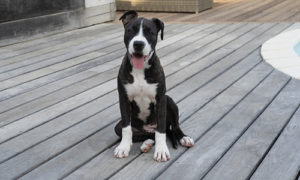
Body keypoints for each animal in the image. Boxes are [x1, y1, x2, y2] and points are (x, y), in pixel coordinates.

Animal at [113, 10, 195, 162]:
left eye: (150, 32)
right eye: (130, 30)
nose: (138, 44)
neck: (140, 69)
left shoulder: (161, 99)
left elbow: (161, 129)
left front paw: (161, 150)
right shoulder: (124, 99)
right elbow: (126, 128)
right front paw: (123, 147)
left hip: (169, 100)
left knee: (173, 127)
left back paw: (184, 138)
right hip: (120, 127)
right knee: (145, 134)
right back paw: (146, 144)